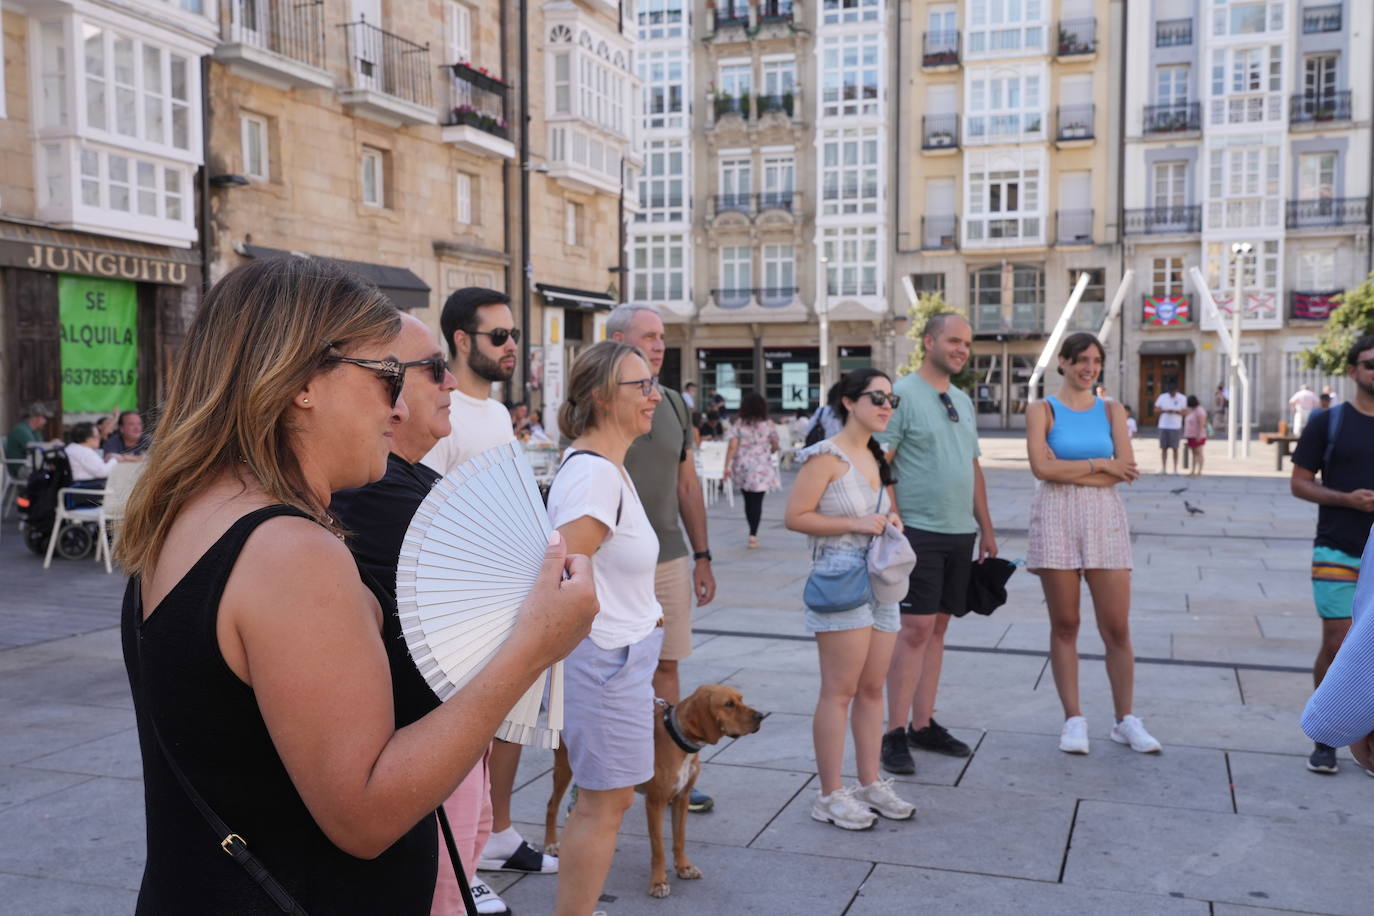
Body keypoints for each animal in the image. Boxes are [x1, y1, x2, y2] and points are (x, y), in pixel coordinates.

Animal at [544, 683, 763, 900]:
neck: (678, 740)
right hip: (565, 768)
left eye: (741, 699)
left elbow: (679, 838)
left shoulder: (681, 798)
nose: (761, 716)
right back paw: (551, 844)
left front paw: (683, 867)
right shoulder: (655, 803)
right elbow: (659, 849)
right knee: (552, 805)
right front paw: (659, 882)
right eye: (728, 704)